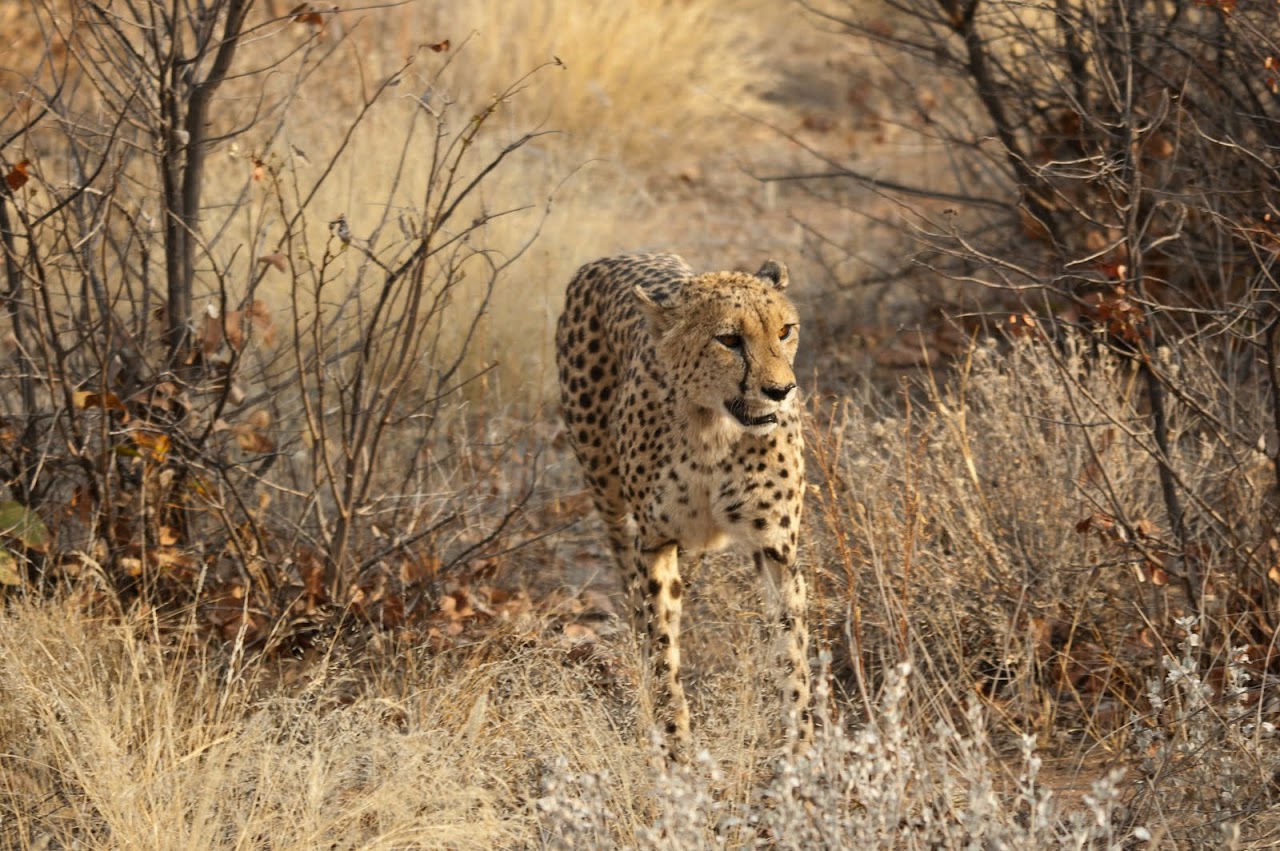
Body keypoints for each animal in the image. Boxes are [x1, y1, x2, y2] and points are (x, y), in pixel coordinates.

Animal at [555, 253, 811, 760]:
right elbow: (660, 644)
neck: (714, 429)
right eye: (729, 339)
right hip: (607, 491)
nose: (781, 391)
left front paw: (804, 751)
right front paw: (673, 746)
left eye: (785, 330)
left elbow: (793, 652)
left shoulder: (776, 547)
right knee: (632, 588)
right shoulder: (657, 540)